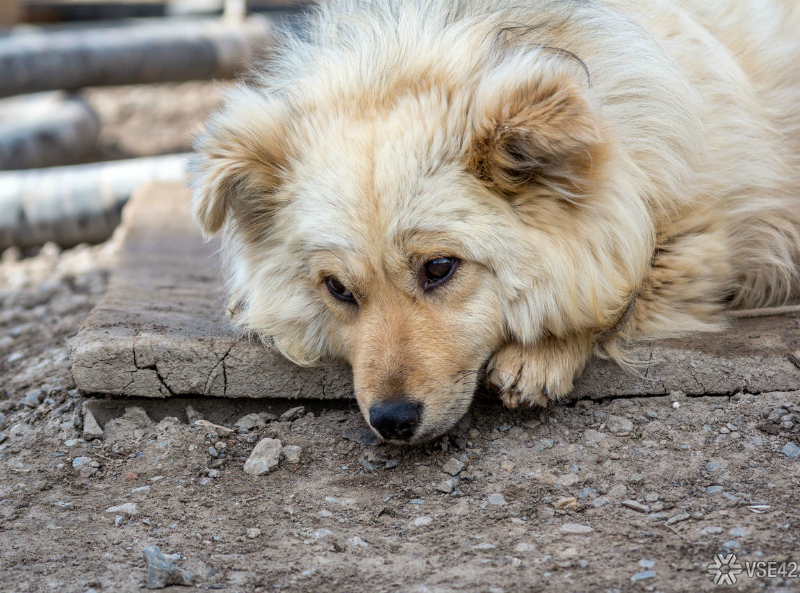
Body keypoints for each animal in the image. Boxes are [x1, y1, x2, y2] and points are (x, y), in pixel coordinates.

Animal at [192, 0, 800, 442]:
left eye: (439, 268)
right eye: (337, 288)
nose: (391, 422)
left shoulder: (701, 239)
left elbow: (619, 288)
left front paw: (542, 352)